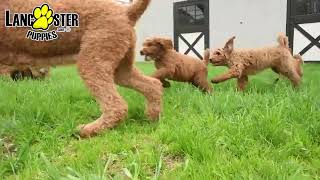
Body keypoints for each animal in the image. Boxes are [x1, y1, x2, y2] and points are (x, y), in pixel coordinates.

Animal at [0, 0, 162, 138]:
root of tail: (126, 11)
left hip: (92, 60)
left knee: (117, 106)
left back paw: (88, 130)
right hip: (120, 68)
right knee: (153, 85)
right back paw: (152, 118)